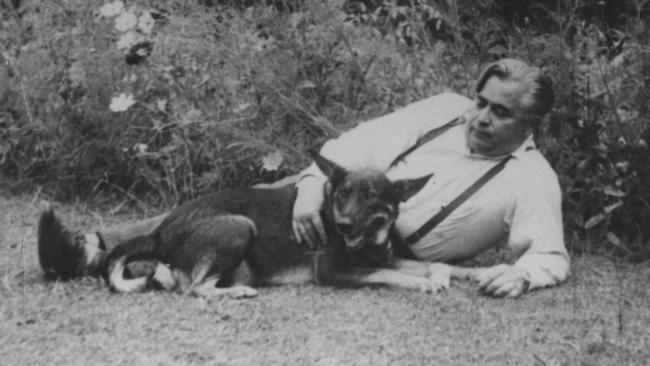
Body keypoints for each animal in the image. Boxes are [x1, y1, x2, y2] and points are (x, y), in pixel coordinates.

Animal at [40, 152, 446, 298]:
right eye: (342, 194)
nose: (344, 225)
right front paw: (422, 283)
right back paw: (236, 292)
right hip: (240, 226)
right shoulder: (333, 271)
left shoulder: (380, 256)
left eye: (372, 196)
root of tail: (160, 231)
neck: (372, 239)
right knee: (196, 289)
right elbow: (392, 274)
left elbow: (419, 264)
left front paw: (437, 273)